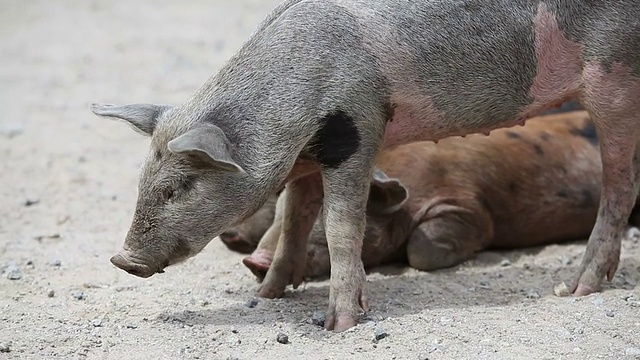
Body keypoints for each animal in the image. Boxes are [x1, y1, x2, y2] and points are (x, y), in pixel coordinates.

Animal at [92, 0, 640, 332]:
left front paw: (337, 324)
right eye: (143, 181)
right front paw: (268, 295)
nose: (122, 259)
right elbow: (294, 219)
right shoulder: (309, 156)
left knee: (621, 186)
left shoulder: (355, 131)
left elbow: (339, 228)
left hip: (614, 77)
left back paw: (575, 289)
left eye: (180, 186)